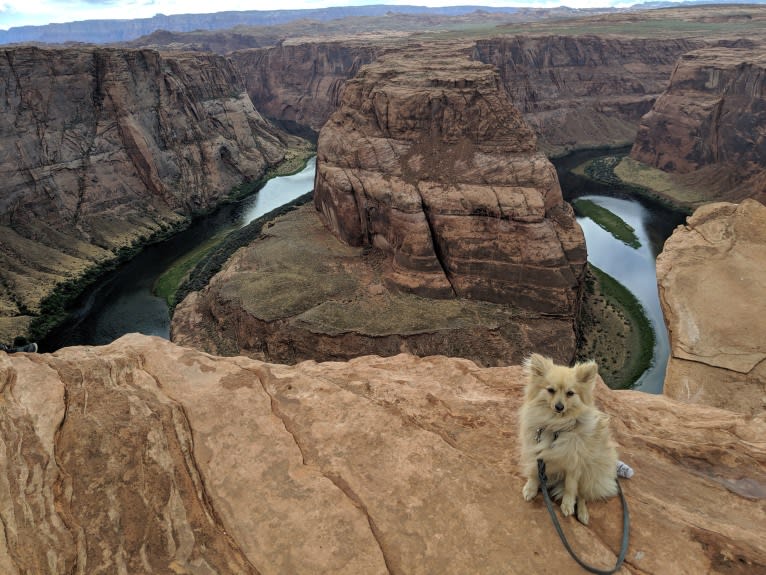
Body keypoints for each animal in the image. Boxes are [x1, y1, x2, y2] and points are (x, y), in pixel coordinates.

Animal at [520, 354, 620, 524]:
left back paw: (582, 513)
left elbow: (570, 486)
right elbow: (533, 472)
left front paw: (567, 504)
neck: (556, 426)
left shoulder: (575, 462)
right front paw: (531, 489)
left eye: (570, 393)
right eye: (550, 390)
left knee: (582, 495)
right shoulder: (536, 451)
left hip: (588, 474)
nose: (559, 407)